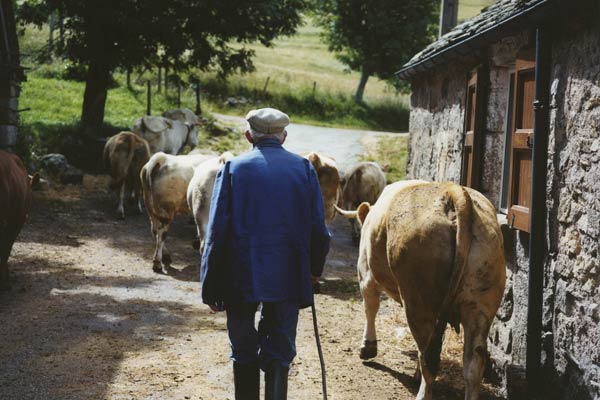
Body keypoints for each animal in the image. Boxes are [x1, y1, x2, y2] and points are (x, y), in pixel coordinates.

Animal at [338, 180, 506, 398]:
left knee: (429, 355)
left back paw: (422, 392)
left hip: (418, 302)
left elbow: (370, 308)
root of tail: (452, 191)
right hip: (480, 303)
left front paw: (368, 347)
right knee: (473, 362)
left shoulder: (366, 273)